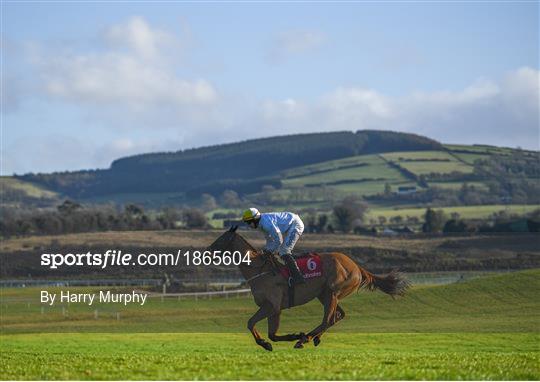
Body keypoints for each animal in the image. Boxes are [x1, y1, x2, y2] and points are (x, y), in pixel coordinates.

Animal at [208, 225, 410, 350]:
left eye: (221, 239)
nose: (208, 251)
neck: (260, 270)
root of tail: (356, 266)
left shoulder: (272, 306)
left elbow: (255, 325)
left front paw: (272, 341)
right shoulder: (273, 308)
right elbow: (268, 332)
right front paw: (282, 338)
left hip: (332, 292)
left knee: (328, 319)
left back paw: (305, 339)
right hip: (325, 294)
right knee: (338, 315)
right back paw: (312, 337)